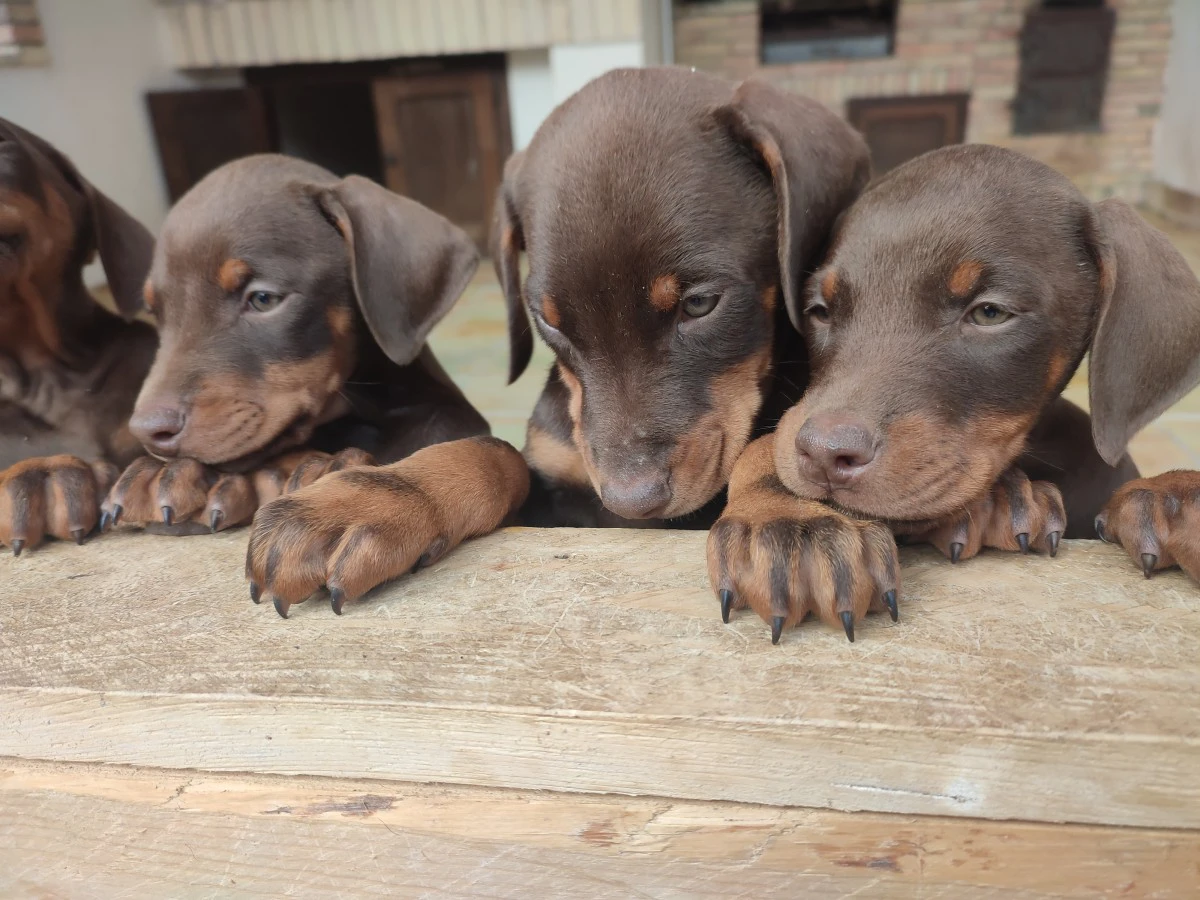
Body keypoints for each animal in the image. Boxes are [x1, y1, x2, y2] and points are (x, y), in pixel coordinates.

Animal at [243, 66, 873, 619]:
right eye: (549, 324)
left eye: (700, 304)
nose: (631, 501)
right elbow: (493, 452)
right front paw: (366, 496)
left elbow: (774, 441)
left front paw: (791, 514)